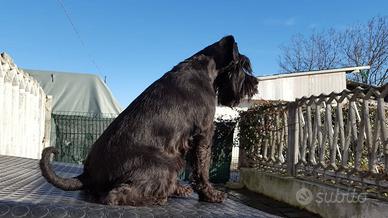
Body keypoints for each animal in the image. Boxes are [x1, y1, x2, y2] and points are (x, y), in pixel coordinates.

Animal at [40, 35, 258, 205]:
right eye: (243, 65)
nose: (254, 84)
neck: (205, 69)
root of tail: (88, 175)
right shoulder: (204, 133)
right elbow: (202, 168)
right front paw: (211, 195)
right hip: (165, 163)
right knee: (114, 196)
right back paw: (158, 198)